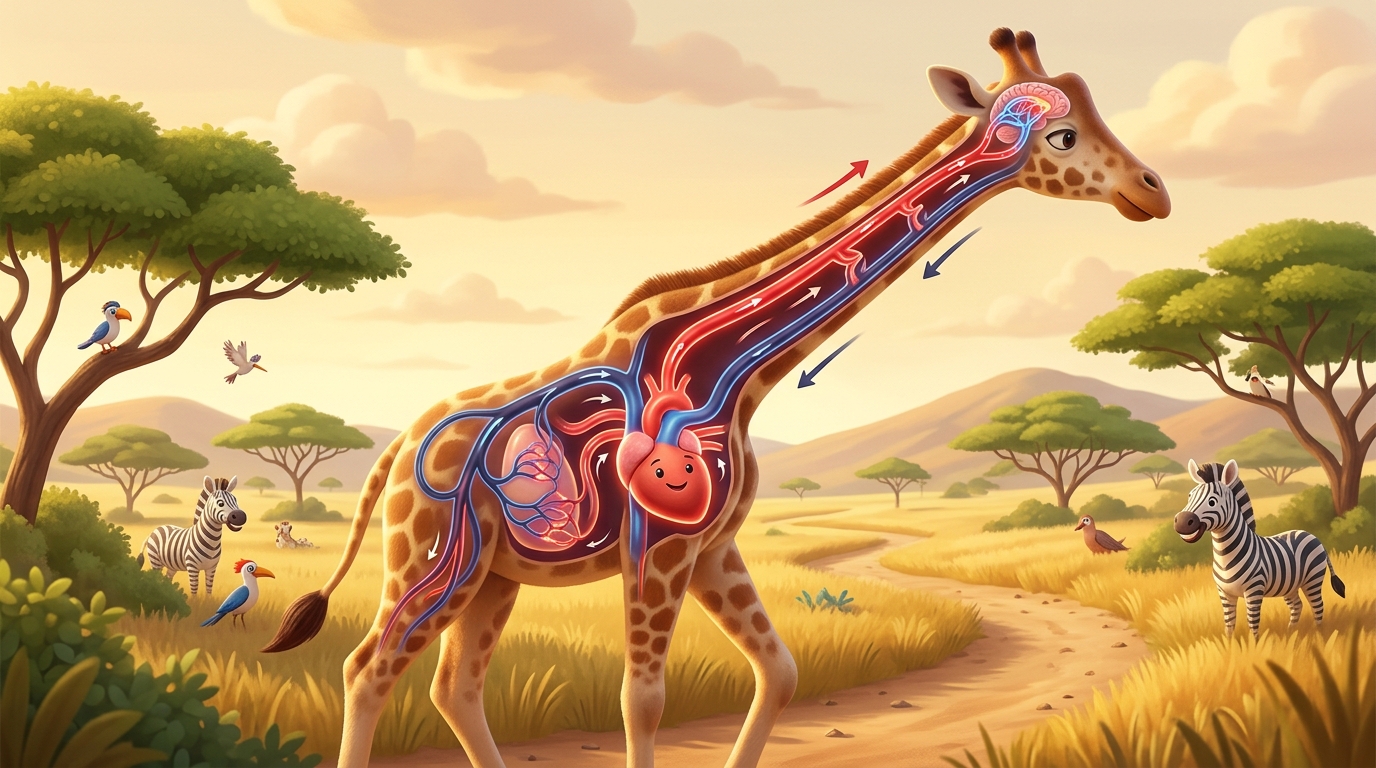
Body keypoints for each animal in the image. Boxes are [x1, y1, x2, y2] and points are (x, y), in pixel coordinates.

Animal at [262, 28, 1170, 768]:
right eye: (1060, 134)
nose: (1152, 190)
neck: (732, 366)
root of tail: (395, 449)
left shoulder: (713, 548)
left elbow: (782, 672)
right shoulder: (660, 547)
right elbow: (643, 701)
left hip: (494, 575)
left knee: (454, 685)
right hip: (430, 557)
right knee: (367, 668)